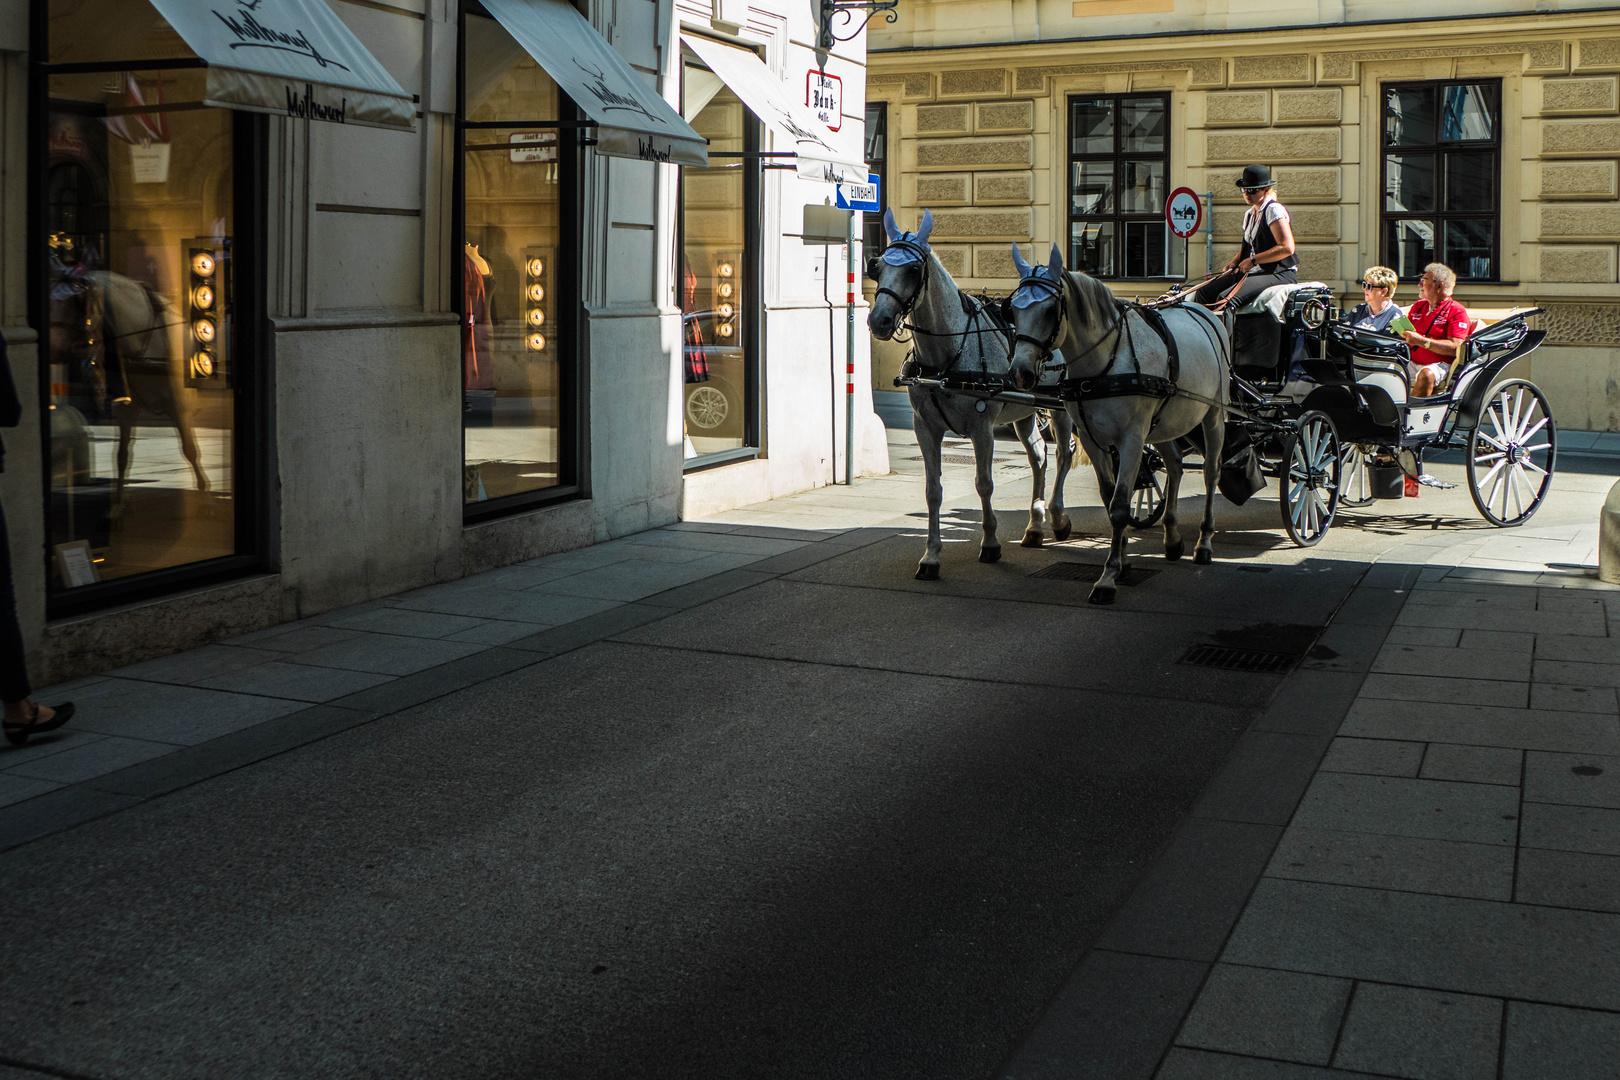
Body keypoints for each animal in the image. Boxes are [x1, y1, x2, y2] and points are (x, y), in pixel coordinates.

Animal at [868, 212, 1082, 582]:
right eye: (877, 266)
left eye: (913, 270)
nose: (878, 320)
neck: (945, 358)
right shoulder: (925, 428)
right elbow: (933, 491)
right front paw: (931, 556)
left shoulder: (982, 428)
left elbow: (984, 483)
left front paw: (991, 543)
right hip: (1024, 412)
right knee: (1038, 457)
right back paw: (1034, 525)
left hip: (1061, 408)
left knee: (1063, 455)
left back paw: (1056, 517)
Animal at [997, 244, 1224, 608]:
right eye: (1012, 310)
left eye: (1050, 310)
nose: (1020, 373)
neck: (1105, 362)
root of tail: (1204, 311)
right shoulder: (1093, 438)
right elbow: (1108, 498)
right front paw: (1122, 559)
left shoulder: (1131, 438)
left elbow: (1119, 505)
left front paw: (1109, 576)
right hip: (1163, 424)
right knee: (1174, 466)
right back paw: (1172, 538)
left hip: (1213, 417)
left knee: (1211, 473)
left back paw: (1204, 543)